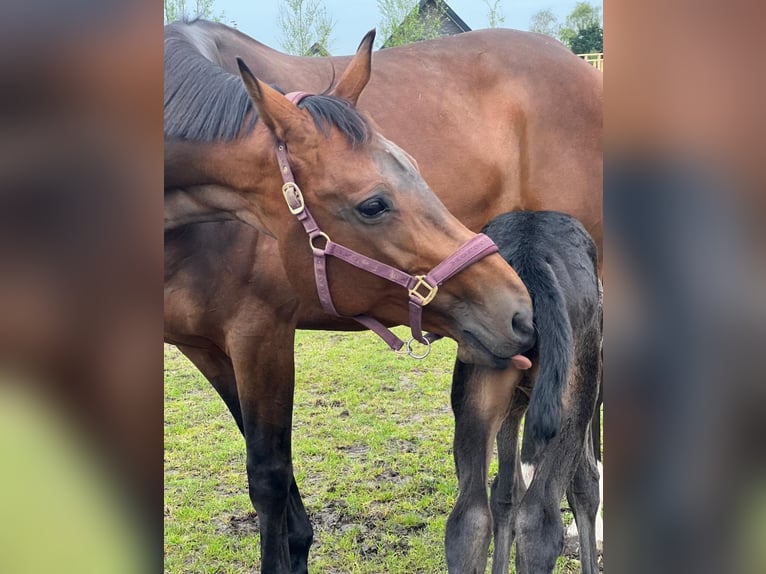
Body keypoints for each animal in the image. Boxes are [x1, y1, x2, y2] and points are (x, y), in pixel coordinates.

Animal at [452, 213, 604, 574]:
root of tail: (530, 255)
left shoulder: (514, 405)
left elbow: (505, 492)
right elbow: (586, 484)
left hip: (478, 394)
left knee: (470, 518)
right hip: (574, 394)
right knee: (539, 519)